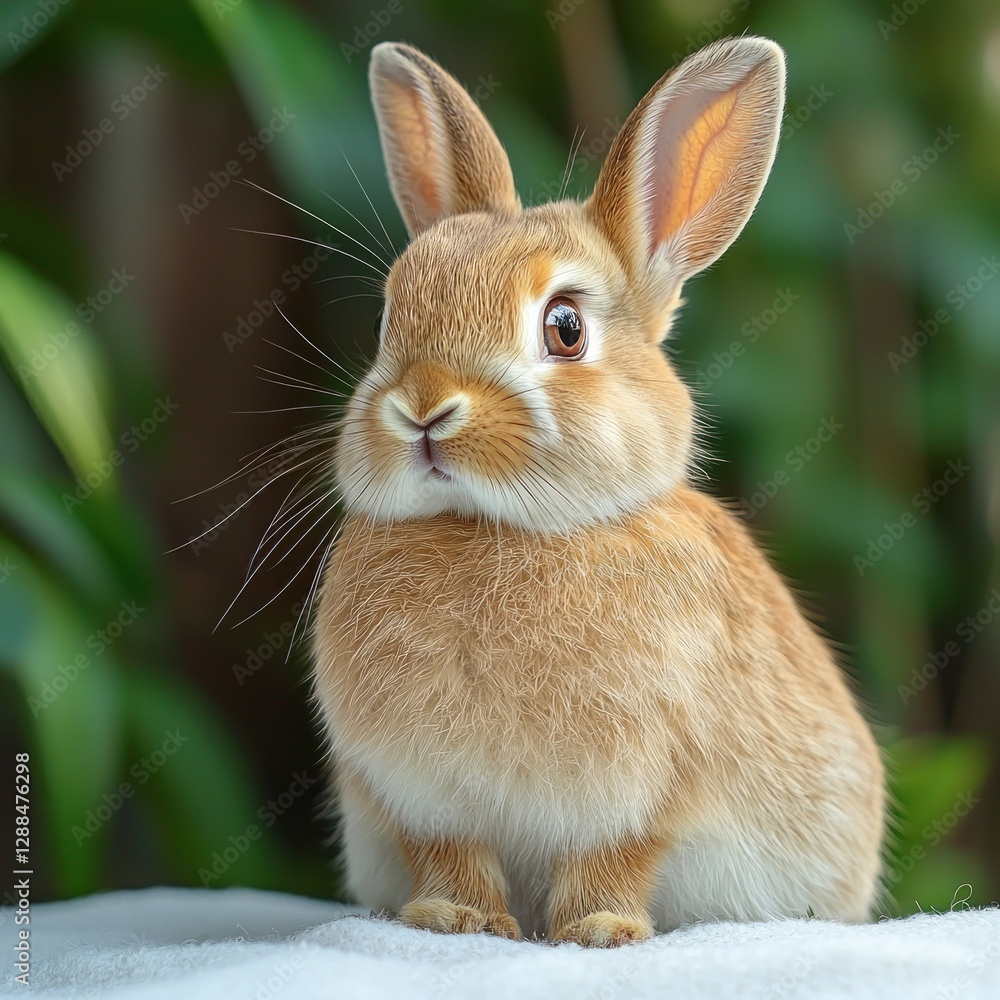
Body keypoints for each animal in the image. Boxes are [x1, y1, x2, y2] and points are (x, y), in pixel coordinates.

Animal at [311, 35, 885, 947]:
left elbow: (612, 862)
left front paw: (598, 933)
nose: (423, 407)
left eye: (566, 328)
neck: (498, 530)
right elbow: (452, 856)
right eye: (388, 318)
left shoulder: (646, 797)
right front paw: (453, 921)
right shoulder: (423, 800)